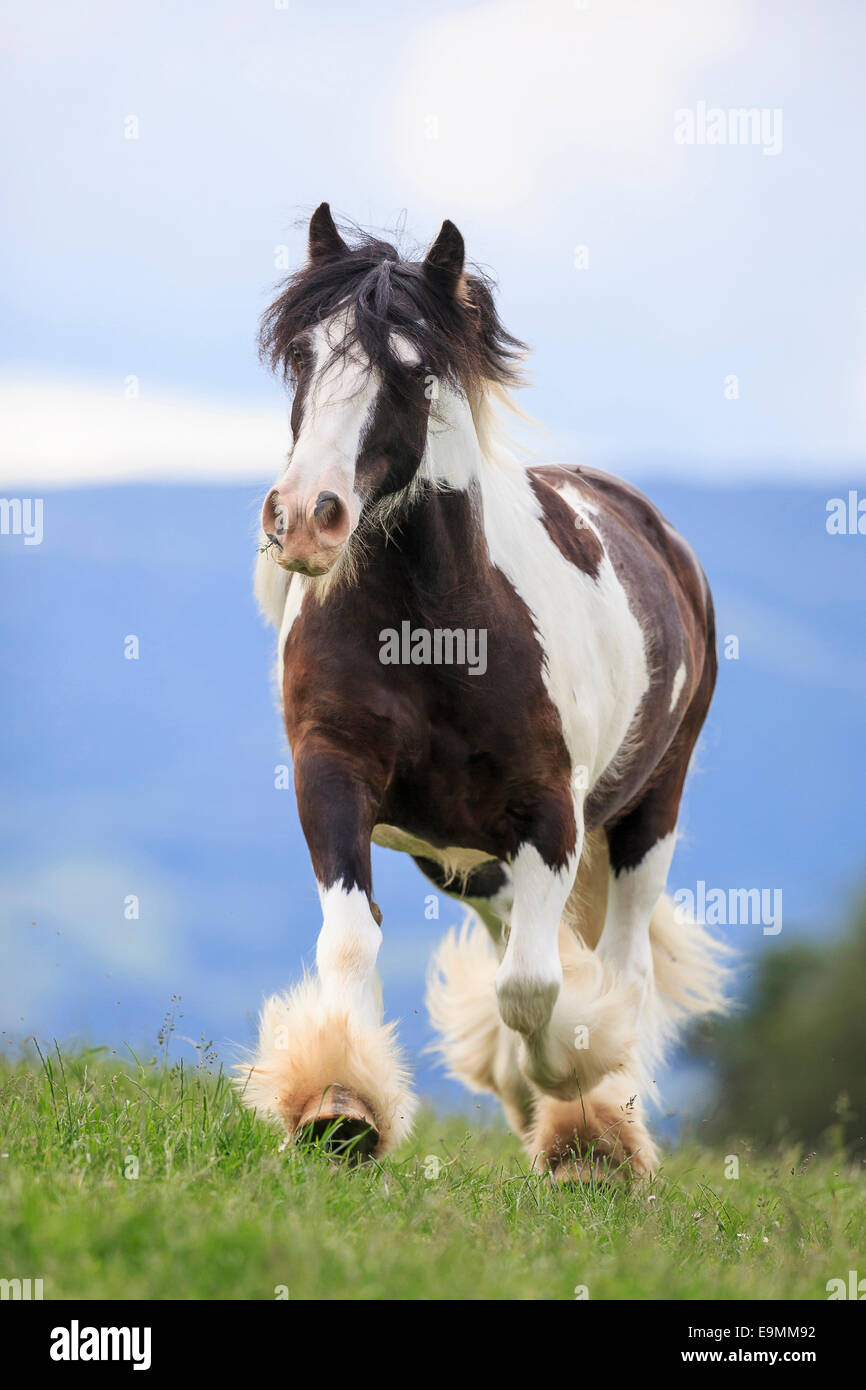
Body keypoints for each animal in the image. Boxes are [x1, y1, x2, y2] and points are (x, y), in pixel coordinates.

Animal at [240, 198, 728, 1173]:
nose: (306, 517)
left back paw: (601, 1125)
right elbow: (351, 938)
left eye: (412, 371)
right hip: (459, 856)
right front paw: (341, 1106)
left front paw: (578, 1093)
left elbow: (536, 986)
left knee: (619, 964)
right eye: (305, 352)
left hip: (649, 809)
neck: (432, 628)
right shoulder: (332, 773)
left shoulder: (550, 812)